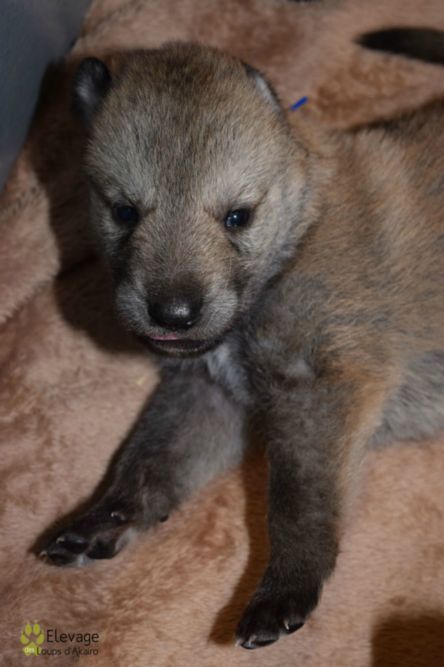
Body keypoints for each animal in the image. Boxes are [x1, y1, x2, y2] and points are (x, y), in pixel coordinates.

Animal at [41, 36, 444, 649]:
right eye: (124, 211)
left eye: (238, 216)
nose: (174, 314)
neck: (299, 233)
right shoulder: (209, 394)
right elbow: (148, 460)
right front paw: (105, 519)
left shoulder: (317, 389)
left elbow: (297, 502)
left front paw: (284, 589)